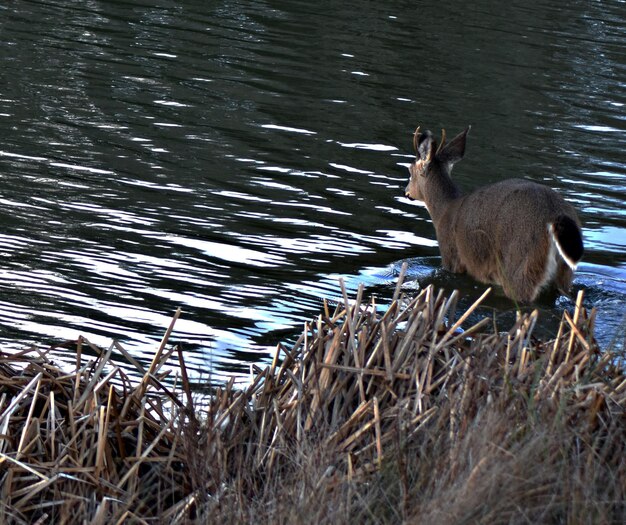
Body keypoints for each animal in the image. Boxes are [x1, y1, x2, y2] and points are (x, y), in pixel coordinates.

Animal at [402, 124, 584, 300]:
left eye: (410, 170)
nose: (406, 192)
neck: (444, 210)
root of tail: (555, 216)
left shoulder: (450, 255)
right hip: (564, 275)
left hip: (522, 264)